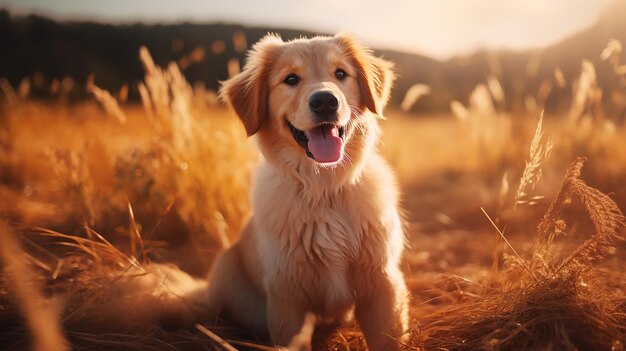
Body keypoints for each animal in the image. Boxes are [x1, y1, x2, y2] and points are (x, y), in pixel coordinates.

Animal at [206, 33, 410, 351]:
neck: (324, 188)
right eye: (291, 79)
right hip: (225, 270)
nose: (325, 101)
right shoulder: (287, 298)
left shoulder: (383, 283)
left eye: (340, 74)